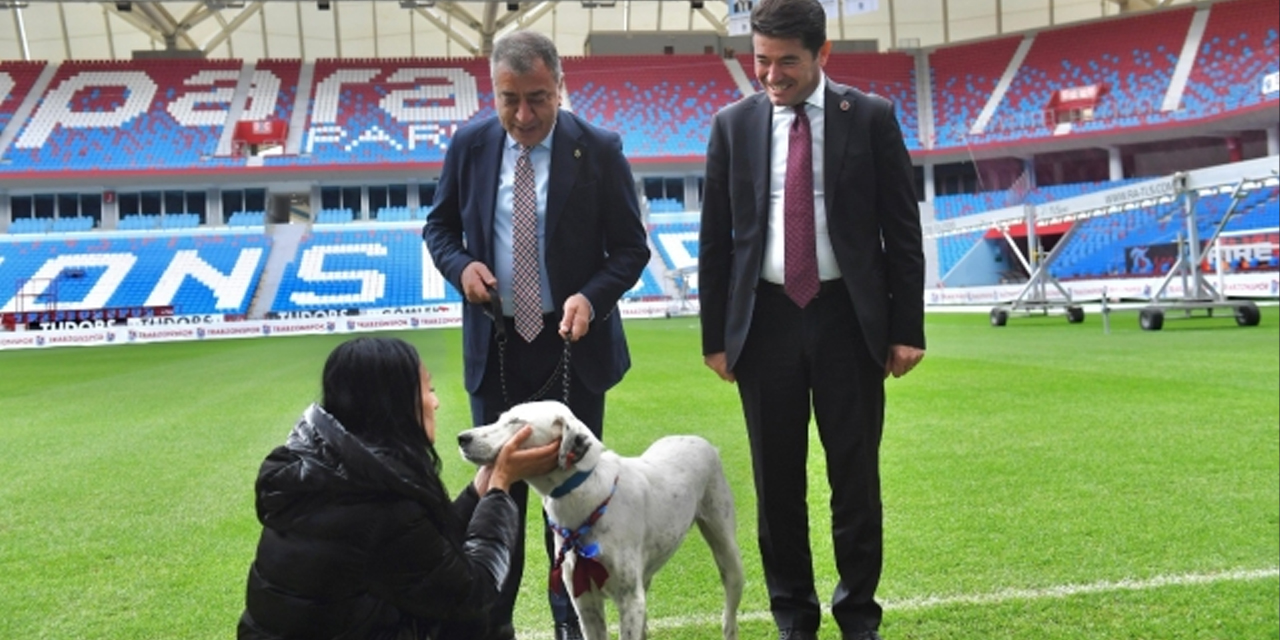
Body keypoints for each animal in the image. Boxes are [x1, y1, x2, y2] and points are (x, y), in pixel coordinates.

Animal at [458, 399, 742, 640]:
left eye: (516, 421)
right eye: (499, 418)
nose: (462, 438)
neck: (586, 502)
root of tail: (701, 441)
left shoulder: (629, 600)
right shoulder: (585, 602)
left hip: (728, 554)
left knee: (729, 617)